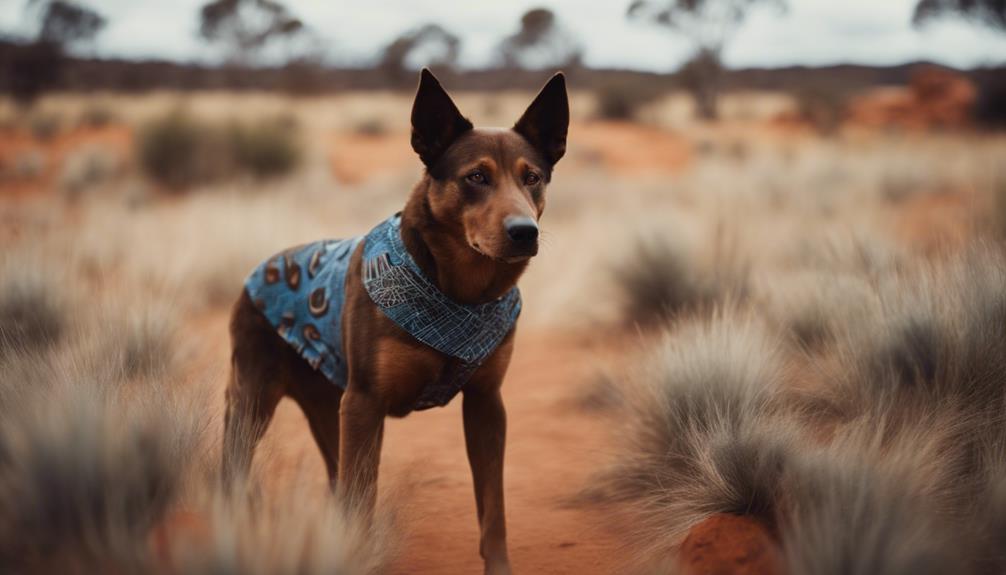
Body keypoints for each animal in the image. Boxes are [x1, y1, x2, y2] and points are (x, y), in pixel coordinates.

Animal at [223, 67, 567, 570]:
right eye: (476, 176)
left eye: (534, 177)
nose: (525, 232)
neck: (458, 294)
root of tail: (256, 273)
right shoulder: (365, 404)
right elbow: (360, 500)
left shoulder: (486, 403)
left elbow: (493, 509)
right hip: (254, 402)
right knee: (236, 470)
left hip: (328, 409)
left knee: (336, 477)